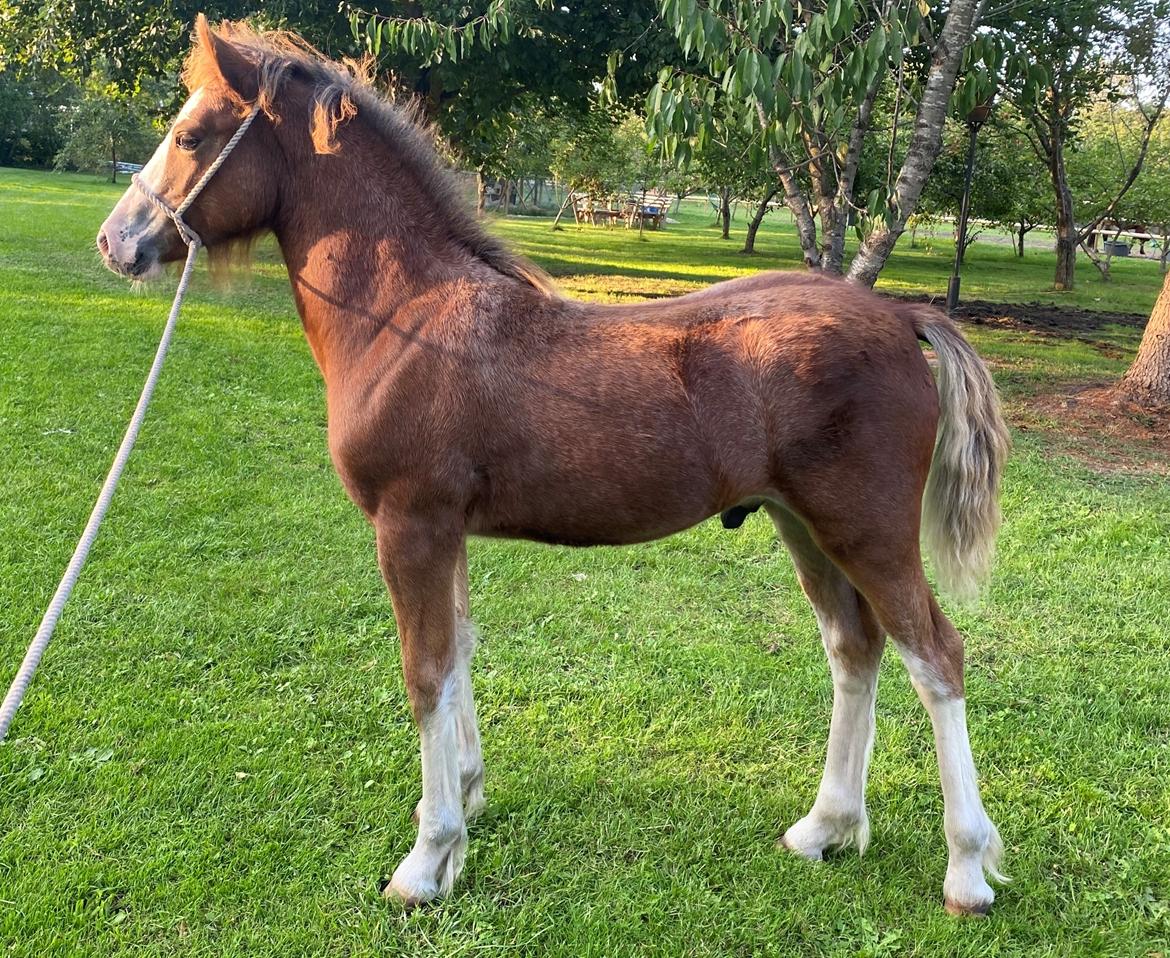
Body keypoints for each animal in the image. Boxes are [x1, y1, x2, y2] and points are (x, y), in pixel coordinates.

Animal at [98, 16, 1015, 912]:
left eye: (189, 134)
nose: (116, 243)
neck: (407, 312)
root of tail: (901, 318)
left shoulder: (409, 524)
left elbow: (425, 672)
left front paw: (425, 863)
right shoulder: (445, 531)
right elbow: (459, 652)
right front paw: (464, 801)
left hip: (866, 528)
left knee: (936, 656)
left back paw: (967, 870)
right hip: (803, 525)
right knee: (855, 649)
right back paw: (825, 828)